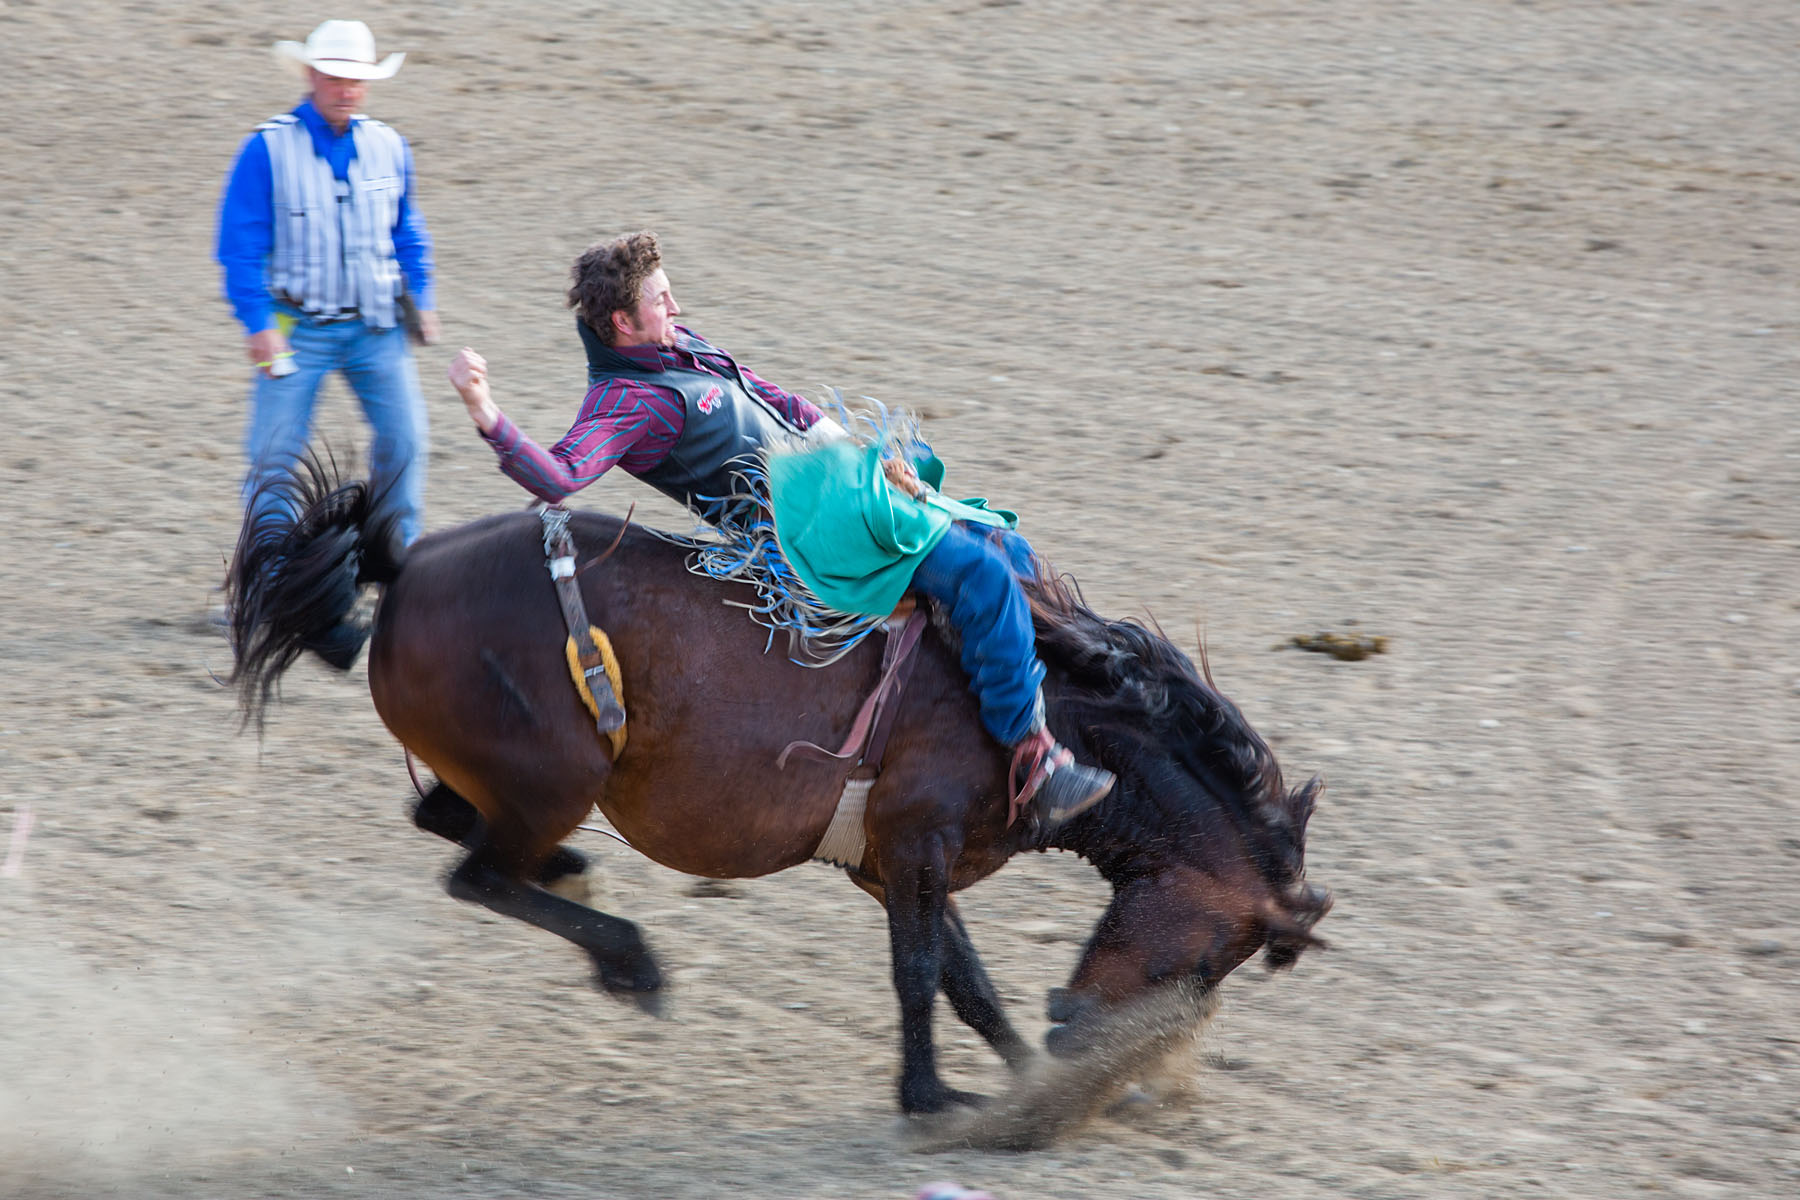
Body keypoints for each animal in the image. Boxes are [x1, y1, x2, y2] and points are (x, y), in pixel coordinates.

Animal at [225, 455, 1332, 1115]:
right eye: (1215, 960)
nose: (1094, 1045)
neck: (1052, 713)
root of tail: (404, 566)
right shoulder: (917, 844)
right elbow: (921, 975)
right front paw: (937, 1098)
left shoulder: (898, 858)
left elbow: (965, 980)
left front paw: (1022, 1080)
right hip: (552, 781)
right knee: (478, 875)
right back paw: (629, 959)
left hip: (516, 785)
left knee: (446, 821)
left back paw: (577, 882)